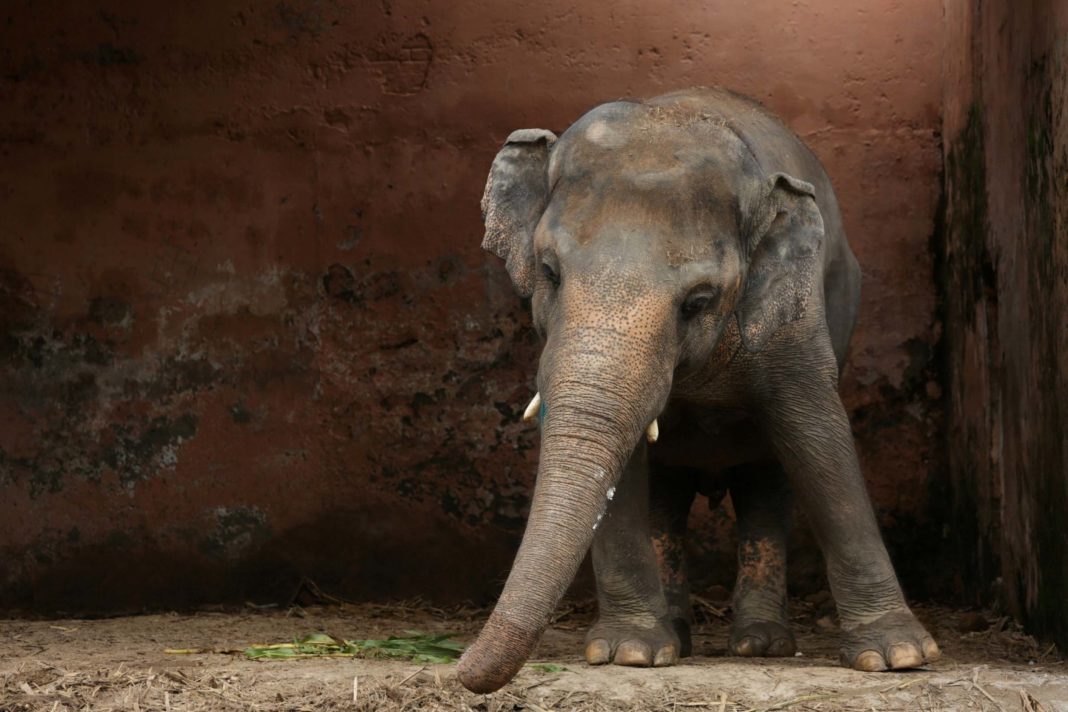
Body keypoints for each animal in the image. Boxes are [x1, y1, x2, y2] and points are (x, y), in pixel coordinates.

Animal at [457, 87, 939, 694]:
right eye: (549, 272)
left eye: (699, 301)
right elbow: (625, 465)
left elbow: (819, 438)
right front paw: (630, 653)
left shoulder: (796, 319)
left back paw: (761, 645)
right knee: (668, 494)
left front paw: (900, 655)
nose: (455, 669)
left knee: (768, 483)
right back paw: (679, 638)